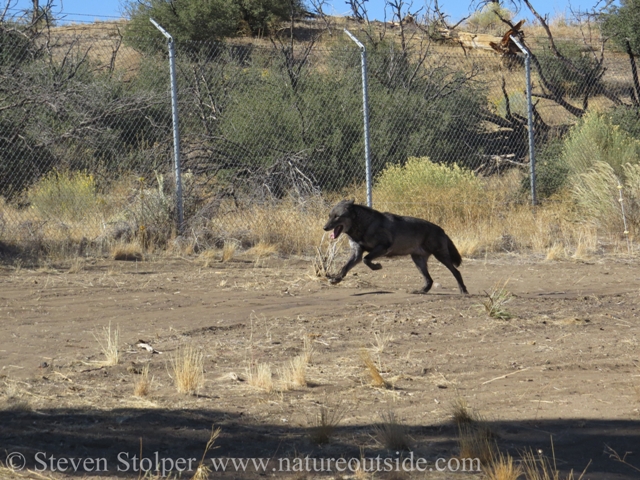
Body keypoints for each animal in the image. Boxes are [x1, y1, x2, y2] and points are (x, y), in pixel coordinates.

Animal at [322, 199, 468, 292]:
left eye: (337, 216)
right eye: (329, 216)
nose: (324, 228)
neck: (363, 225)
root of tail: (441, 229)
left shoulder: (383, 247)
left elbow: (366, 259)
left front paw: (376, 266)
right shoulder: (356, 253)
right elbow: (345, 267)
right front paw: (336, 279)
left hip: (441, 257)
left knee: (456, 272)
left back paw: (463, 290)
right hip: (418, 261)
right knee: (429, 280)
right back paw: (421, 291)